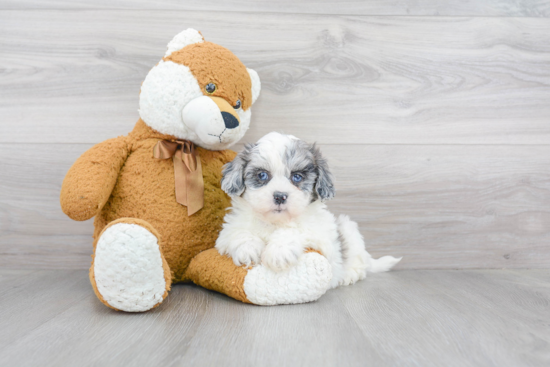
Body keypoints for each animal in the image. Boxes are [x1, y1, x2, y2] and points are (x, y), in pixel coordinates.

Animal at [216, 133, 402, 290]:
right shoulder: (227, 232)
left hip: (348, 229)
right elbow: (240, 233)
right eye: (262, 175)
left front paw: (279, 251)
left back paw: (349, 274)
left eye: (297, 177)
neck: (276, 222)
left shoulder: (322, 236)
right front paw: (248, 248)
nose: (280, 196)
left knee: (359, 261)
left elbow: (296, 231)